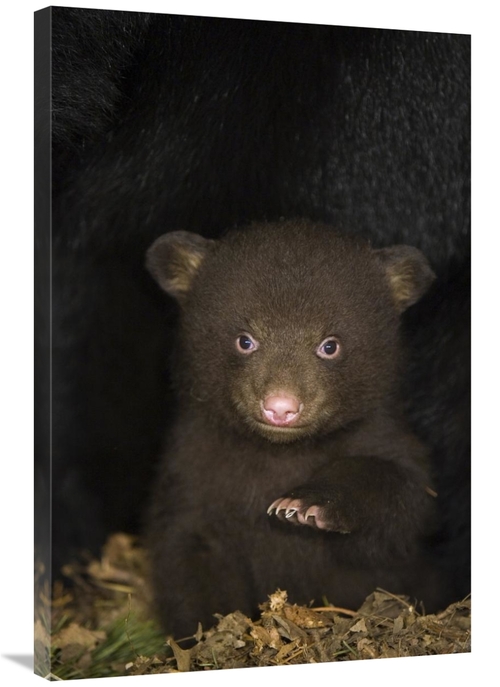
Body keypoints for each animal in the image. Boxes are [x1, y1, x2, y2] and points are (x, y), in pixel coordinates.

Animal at [145, 219, 440, 638]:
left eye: (330, 345)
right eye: (245, 340)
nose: (280, 407)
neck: (279, 451)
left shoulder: (382, 436)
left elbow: (405, 499)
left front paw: (310, 502)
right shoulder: (192, 466)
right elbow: (188, 549)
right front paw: (209, 633)